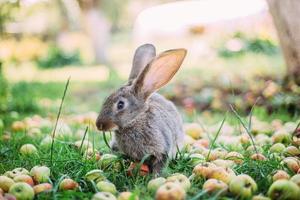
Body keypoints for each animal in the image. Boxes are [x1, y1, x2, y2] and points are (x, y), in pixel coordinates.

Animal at [96, 43, 186, 173]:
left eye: (120, 105)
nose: (99, 125)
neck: (136, 120)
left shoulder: (162, 148)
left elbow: (160, 164)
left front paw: (155, 176)